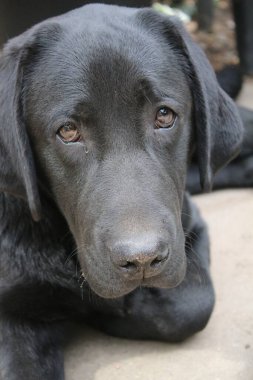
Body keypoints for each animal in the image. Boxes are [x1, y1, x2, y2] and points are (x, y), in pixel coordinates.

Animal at [0, 3, 245, 380]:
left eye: (164, 115)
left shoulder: (191, 228)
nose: (142, 259)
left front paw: (104, 310)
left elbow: (189, 307)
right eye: (68, 131)